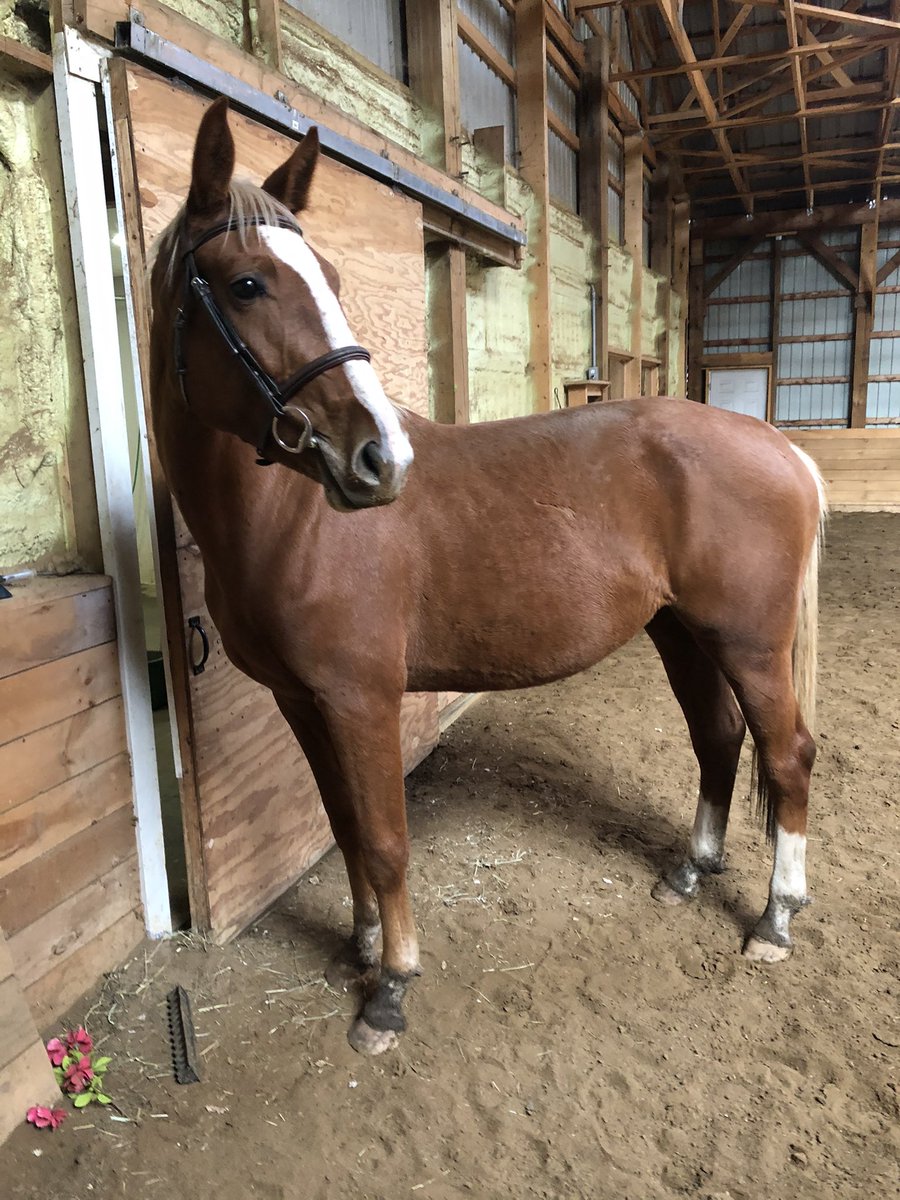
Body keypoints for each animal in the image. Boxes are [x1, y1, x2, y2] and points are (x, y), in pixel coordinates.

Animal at [149, 98, 827, 1056]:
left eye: (330, 275)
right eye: (247, 285)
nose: (379, 459)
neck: (291, 517)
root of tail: (783, 450)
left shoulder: (361, 700)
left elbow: (384, 840)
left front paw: (391, 986)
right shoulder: (300, 701)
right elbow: (344, 827)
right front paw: (361, 943)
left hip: (750, 643)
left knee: (787, 753)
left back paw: (774, 918)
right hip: (681, 632)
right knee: (718, 738)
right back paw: (690, 871)